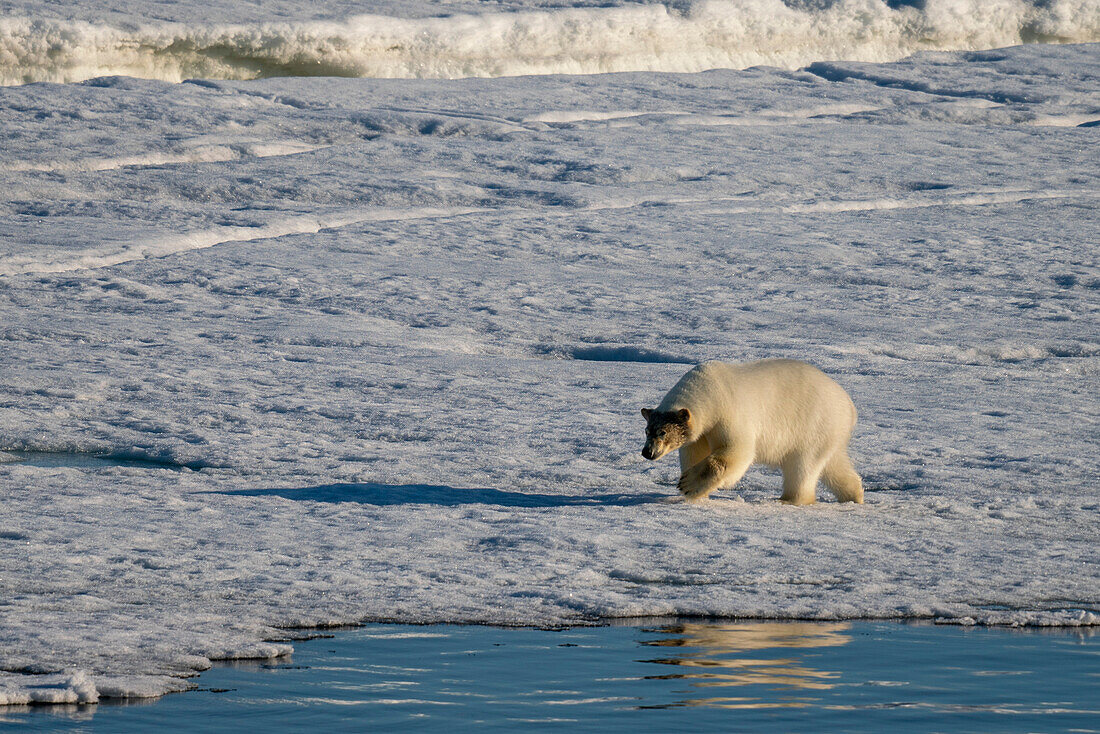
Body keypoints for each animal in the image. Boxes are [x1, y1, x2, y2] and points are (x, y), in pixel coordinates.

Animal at [642, 360, 862, 506]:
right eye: (646, 430)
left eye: (662, 432)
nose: (647, 452)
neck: (710, 390)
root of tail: (849, 407)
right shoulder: (703, 432)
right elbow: (694, 452)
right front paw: (696, 492)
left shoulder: (730, 412)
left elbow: (737, 452)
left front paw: (688, 484)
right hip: (827, 433)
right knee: (833, 464)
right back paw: (854, 495)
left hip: (813, 425)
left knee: (802, 466)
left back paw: (789, 499)